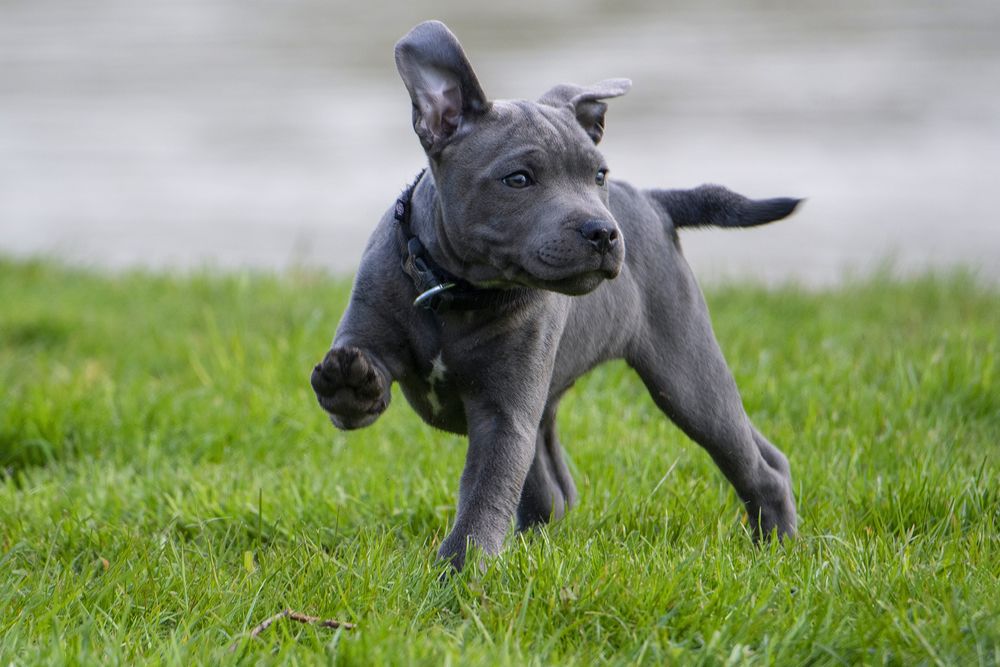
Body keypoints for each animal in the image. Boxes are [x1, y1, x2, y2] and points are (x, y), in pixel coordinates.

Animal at [308, 22, 800, 576]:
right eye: (519, 179)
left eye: (599, 175)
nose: (604, 233)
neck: (453, 292)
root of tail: (654, 202)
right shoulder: (376, 330)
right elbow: (361, 377)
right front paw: (351, 382)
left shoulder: (505, 416)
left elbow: (485, 494)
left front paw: (460, 571)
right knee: (556, 492)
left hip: (686, 374)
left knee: (752, 462)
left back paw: (778, 549)